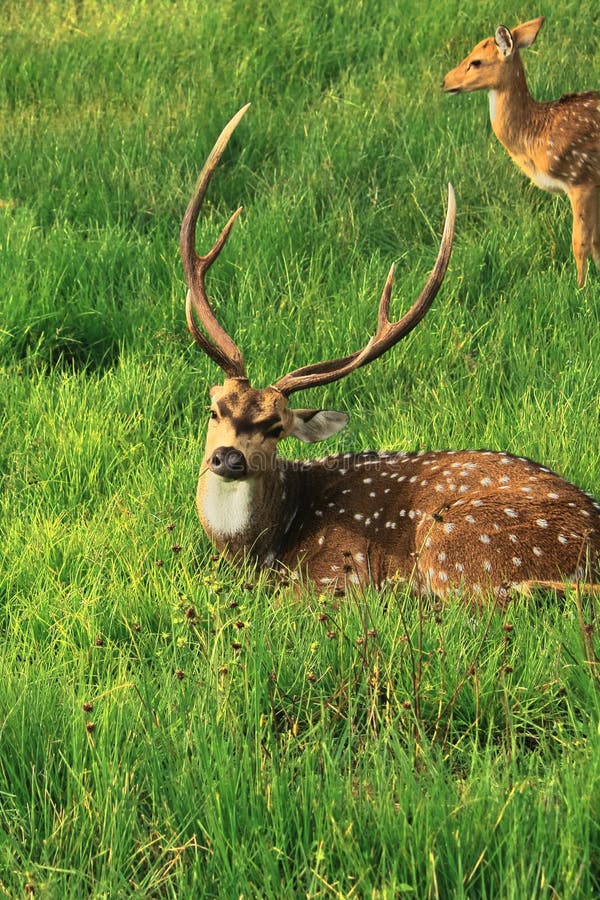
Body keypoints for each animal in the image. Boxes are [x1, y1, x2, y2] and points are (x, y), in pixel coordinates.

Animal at [183, 103, 600, 596]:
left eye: (275, 427)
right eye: (214, 410)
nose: (228, 458)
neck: (262, 546)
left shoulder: (337, 571)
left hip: (458, 545)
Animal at [440, 16, 600, 288]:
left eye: (476, 61)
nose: (445, 81)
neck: (536, 132)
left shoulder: (581, 178)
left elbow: (581, 244)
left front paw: (580, 289)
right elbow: (597, 241)